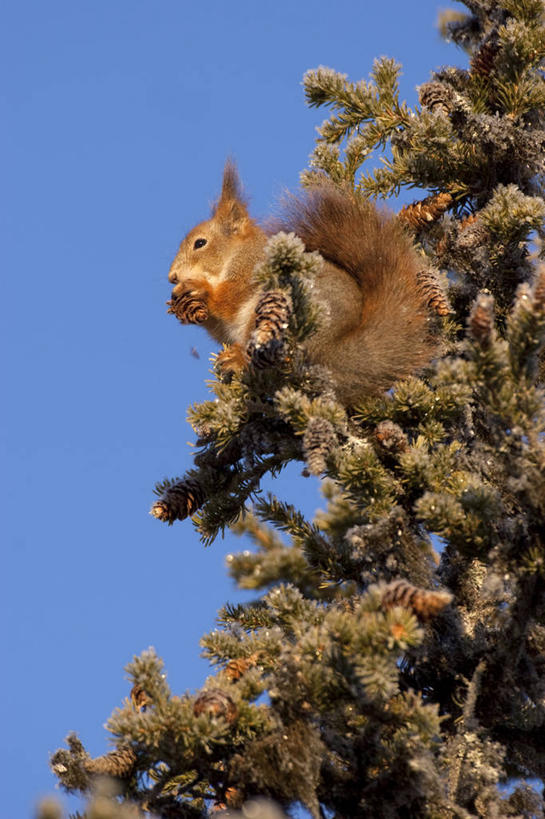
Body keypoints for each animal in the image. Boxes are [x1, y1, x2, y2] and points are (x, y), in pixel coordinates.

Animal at [166, 162, 434, 406]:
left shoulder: (252, 275)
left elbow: (229, 300)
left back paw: (238, 360)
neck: (236, 256)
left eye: (200, 243)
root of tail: (332, 352)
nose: (172, 276)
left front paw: (197, 288)